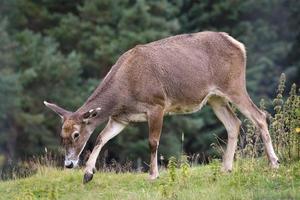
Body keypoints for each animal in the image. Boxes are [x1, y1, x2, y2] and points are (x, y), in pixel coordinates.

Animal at [43, 30, 280, 183]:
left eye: (76, 134)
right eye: (61, 134)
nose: (68, 164)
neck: (124, 92)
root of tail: (239, 45)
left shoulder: (157, 104)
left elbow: (153, 142)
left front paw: (153, 175)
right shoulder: (121, 118)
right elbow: (101, 138)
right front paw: (88, 174)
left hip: (234, 85)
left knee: (260, 115)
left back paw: (274, 163)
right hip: (215, 98)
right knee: (234, 123)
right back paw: (226, 168)